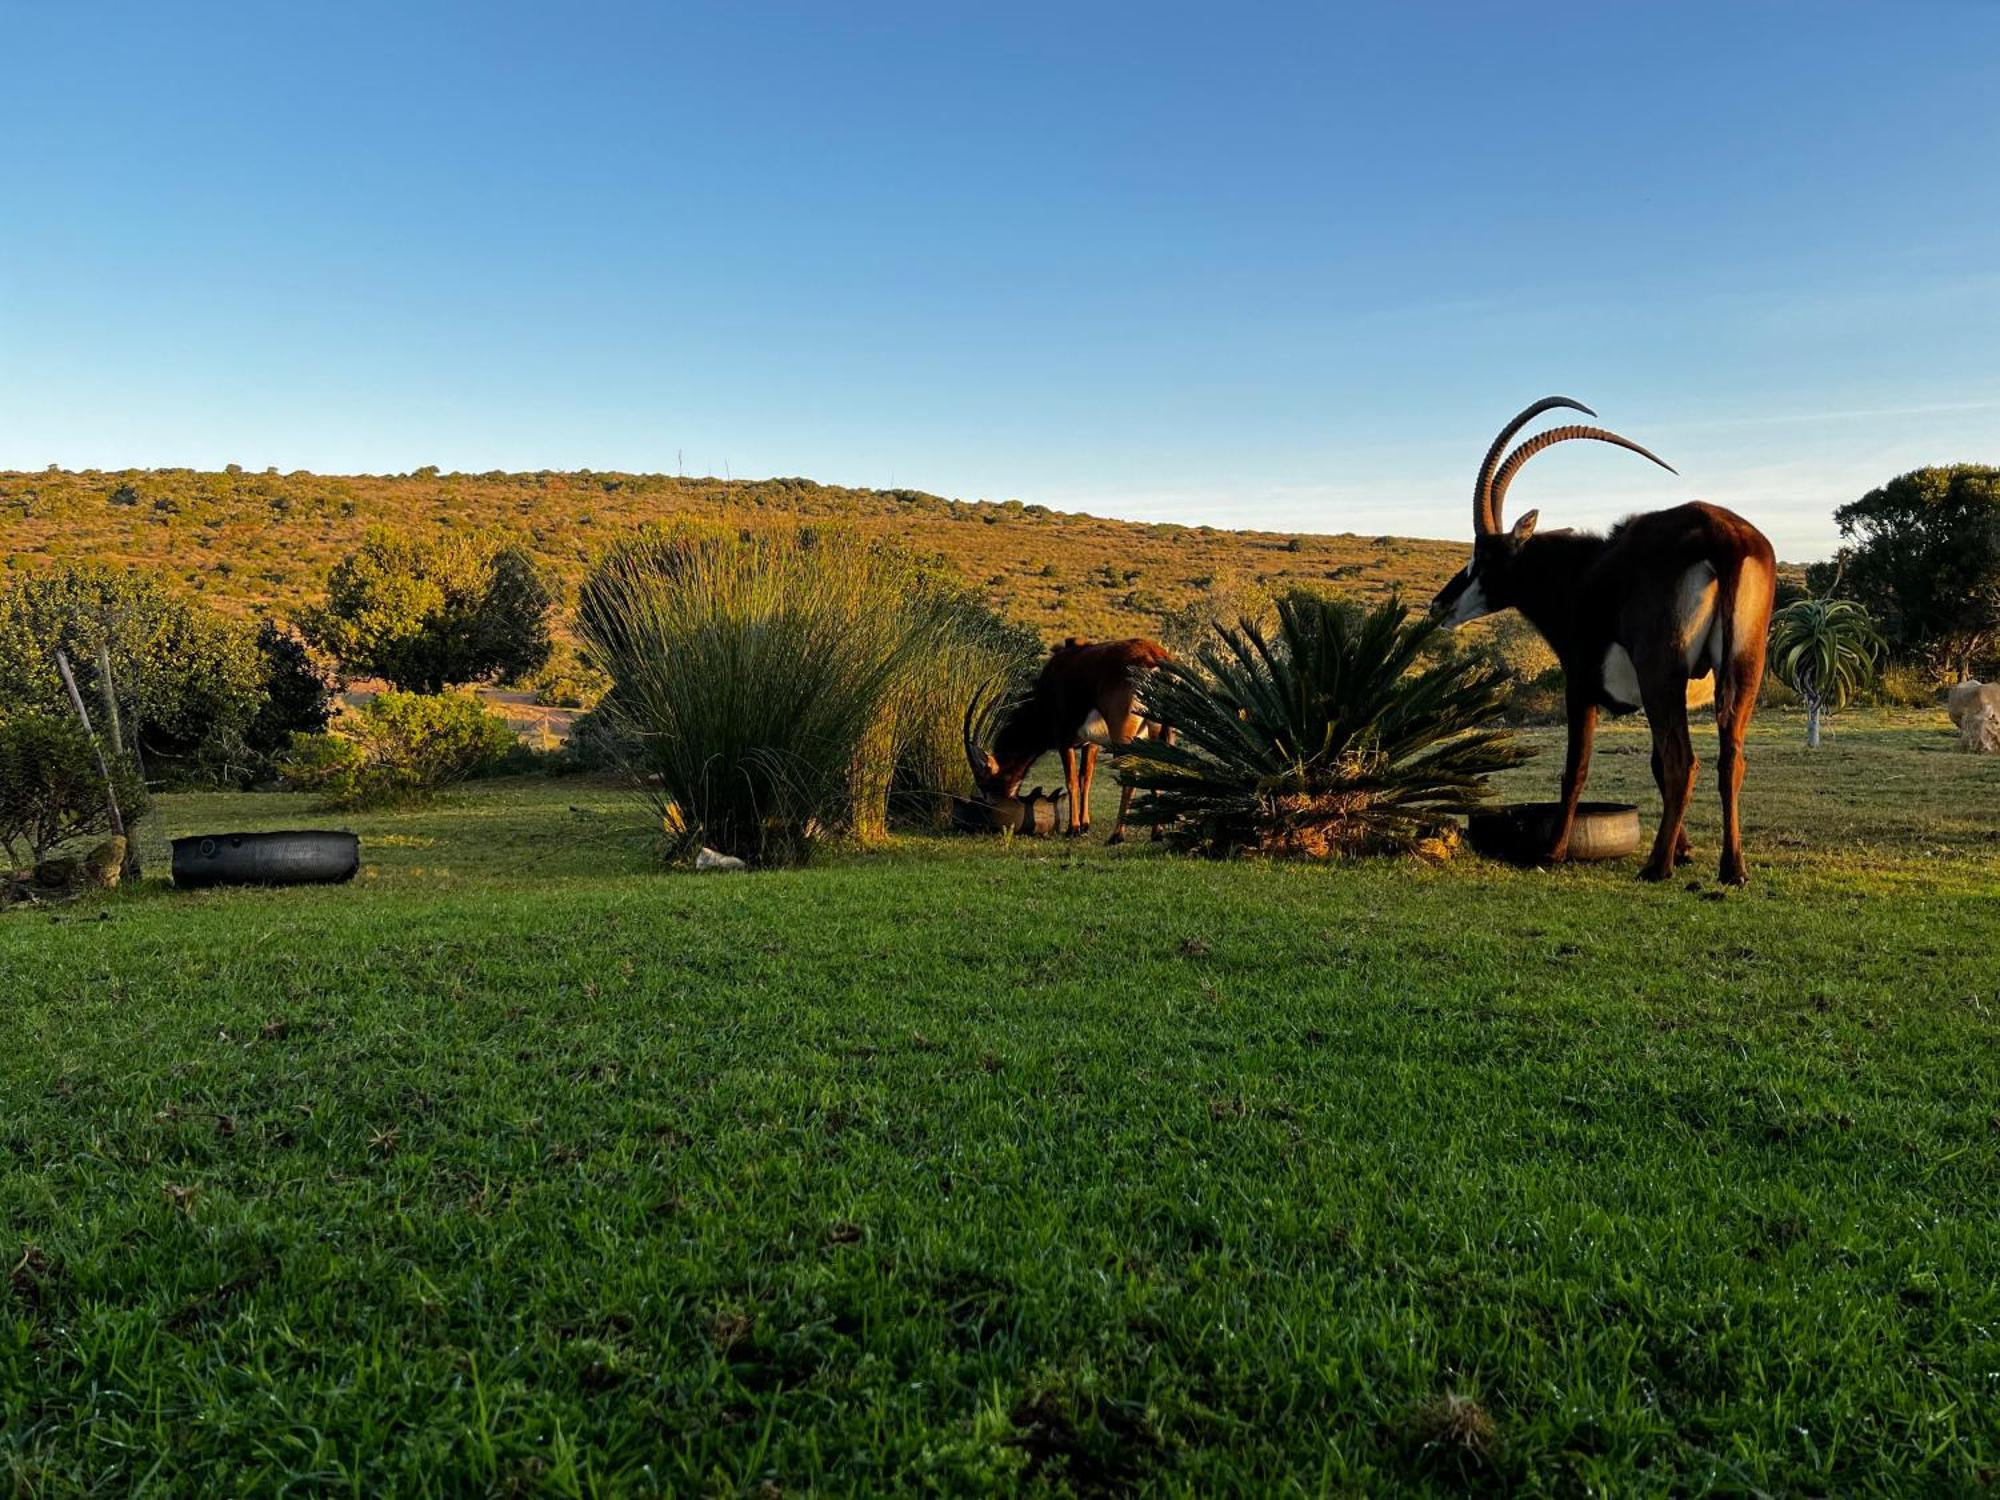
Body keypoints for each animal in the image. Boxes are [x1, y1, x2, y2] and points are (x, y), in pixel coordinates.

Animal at [964, 636, 1168, 848]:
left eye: (984, 782)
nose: (990, 808)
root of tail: (1153, 656)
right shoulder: (1090, 744)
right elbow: (1085, 780)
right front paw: (1085, 826)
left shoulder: (1064, 741)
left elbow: (1072, 782)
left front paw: (1073, 828)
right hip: (1154, 734)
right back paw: (1157, 833)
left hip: (1123, 737)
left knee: (1129, 778)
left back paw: (1116, 836)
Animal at [1432, 402, 1776, 892]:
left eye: (1483, 556)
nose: (1439, 605)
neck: (1580, 572)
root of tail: (1723, 537)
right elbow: (1654, 764)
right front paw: (1685, 849)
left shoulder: (1579, 685)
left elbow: (1576, 769)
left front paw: (1552, 852)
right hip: (1744, 668)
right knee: (1730, 760)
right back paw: (1732, 868)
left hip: (1660, 672)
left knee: (1684, 762)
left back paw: (1656, 867)